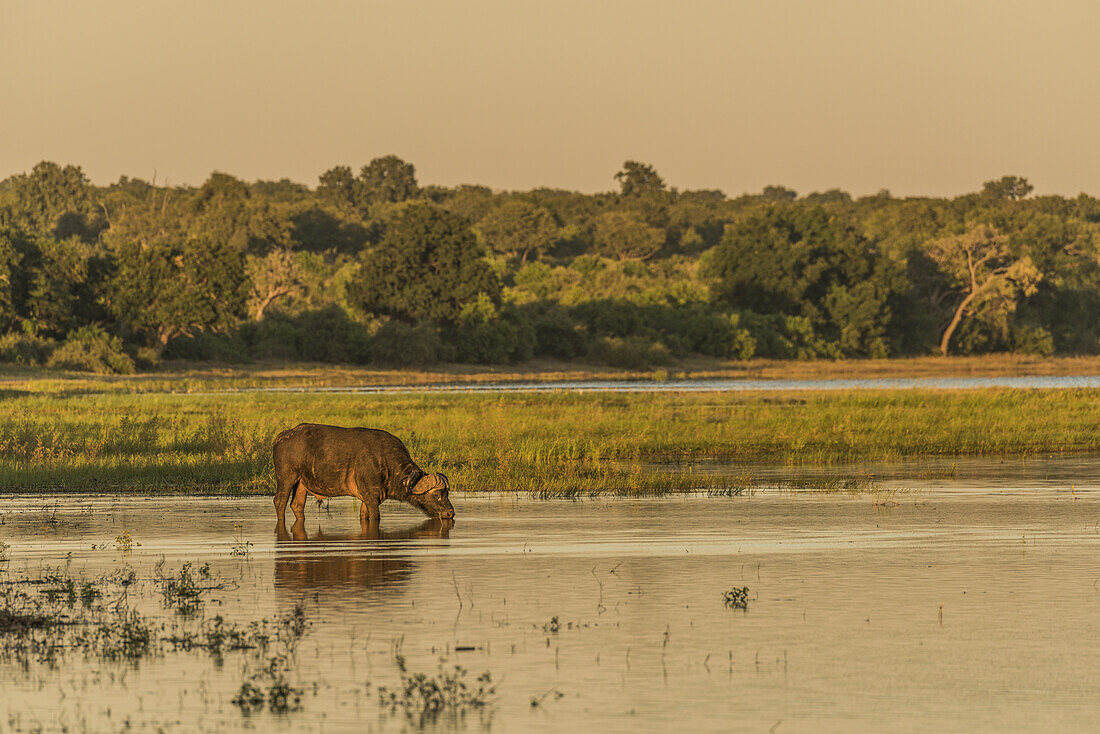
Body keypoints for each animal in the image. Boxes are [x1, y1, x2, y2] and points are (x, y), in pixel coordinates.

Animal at [271, 424, 455, 521]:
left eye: (447, 493)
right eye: (436, 494)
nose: (450, 513)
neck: (385, 461)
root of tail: (281, 437)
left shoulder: (369, 499)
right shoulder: (372, 498)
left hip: (301, 484)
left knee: (296, 505)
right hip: (286, 479)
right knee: (279, 501)